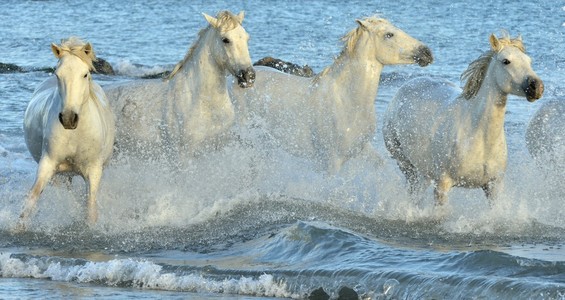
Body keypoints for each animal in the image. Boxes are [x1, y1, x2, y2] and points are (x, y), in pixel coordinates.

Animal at [21, 37, 115, 225]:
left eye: (85, 74)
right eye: (58, 74)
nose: (68, 118)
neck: (75, 133)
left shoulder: (94, 170)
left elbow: (90, 208)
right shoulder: (48, 163)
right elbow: (31, 199)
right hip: (61, 176)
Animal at [229, 16, 432, 175]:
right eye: (389, 35)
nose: (426, 53)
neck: (347, 100)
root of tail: (238, 82)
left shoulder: (361, 149)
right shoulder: (331, 161)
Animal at [382, 32, 544, 206]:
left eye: (529, 61)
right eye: (506, 61)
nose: (537, 87)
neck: (479, 136)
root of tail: (406, 86)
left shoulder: (493, 186)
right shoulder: (442, 185)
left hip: (424, 173)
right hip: (407, 166)